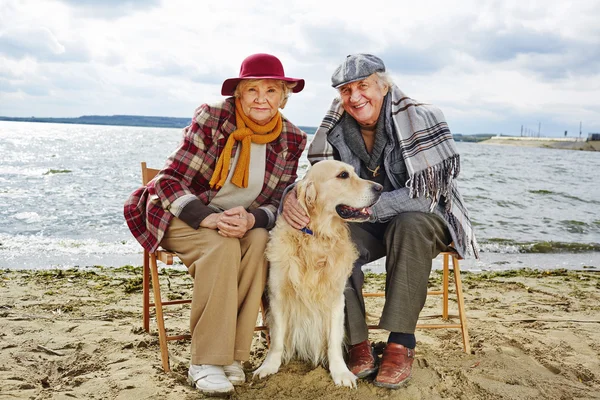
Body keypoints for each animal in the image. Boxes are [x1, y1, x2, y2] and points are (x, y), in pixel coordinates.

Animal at [252, 159, 382, 388]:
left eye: (354, 172)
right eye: (343, 175)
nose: (380, 188)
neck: (317, 237)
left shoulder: (336, 299)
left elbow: (333, 340)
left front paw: (341, 372)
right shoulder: (278, 296)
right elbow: (277, 339)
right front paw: (269, 366)